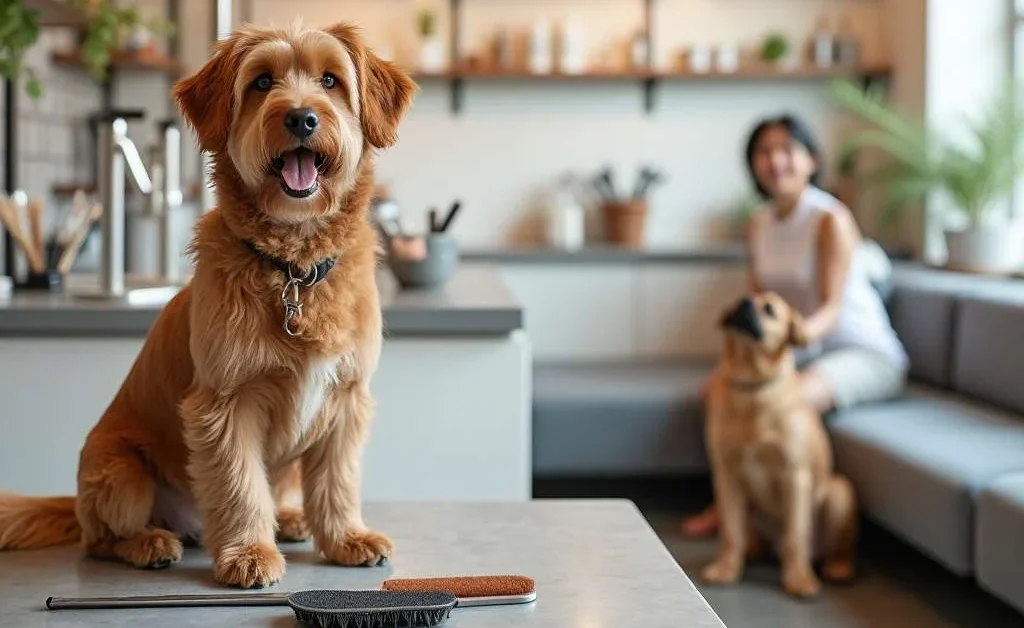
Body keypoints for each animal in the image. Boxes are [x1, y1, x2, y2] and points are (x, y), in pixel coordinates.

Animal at [704, 292, 856, 598]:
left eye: (770, 309)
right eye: (740, 300)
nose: (744, 304)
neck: (752, 386)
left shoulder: (795, 475)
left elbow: (796, 536)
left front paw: (799, 579)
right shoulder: (726, 475)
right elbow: (730, 534)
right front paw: (726, 569)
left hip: (839, 493)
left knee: (834, 548)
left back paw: (838, 567)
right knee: (746, 537)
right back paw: (751, 552)